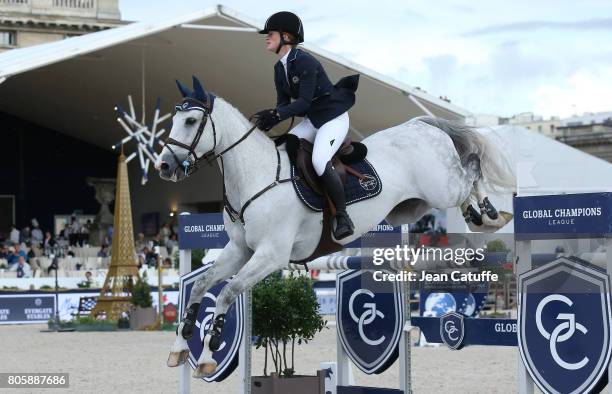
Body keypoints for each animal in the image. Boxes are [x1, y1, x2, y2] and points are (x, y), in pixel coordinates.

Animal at [155, 78, 512, 378]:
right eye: (174, 120)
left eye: (190, 121)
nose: (163, 166)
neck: (257, 177)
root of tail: (420, 125)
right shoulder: (239, 250)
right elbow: (201, 285)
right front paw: (180, 345)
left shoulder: (271, 255)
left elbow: (227, 291)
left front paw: (207, 354)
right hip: (411, 207)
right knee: (462, 184)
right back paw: (477, 215)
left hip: (441, 189)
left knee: (472, 170)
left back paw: (491, 214)